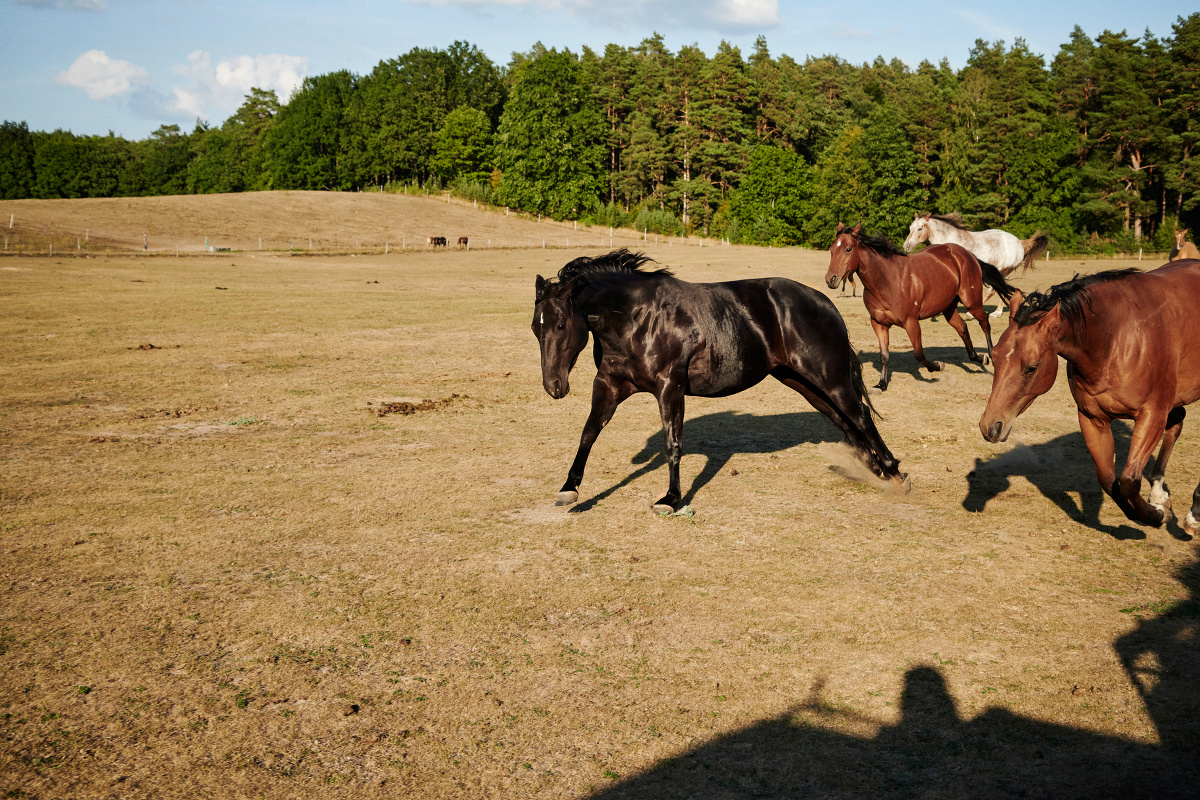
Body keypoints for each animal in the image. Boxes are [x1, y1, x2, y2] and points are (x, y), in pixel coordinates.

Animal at [532, 249, 909, 512]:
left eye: (561, 324)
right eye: (536, 327)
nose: (554, 387)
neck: (639, 318)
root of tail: (825, 302)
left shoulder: (670, 390)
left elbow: (672, 444)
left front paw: (670, 499)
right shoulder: (610, 385)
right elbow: (589, 433)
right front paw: (569, 489)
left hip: (829, 379)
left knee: (860, 416)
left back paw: (894, 472)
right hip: (803, 383)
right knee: (845, 422)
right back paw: (877, 470)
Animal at [824, 223, 1017, 391]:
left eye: (848, 249)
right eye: (831, 250)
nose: (831, 279)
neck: (887, 280)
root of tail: (967, 254)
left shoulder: (911, 322)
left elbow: (919, 354)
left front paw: (937, 366)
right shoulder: (878, 323)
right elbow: (884, 355)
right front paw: (881, 384)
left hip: (972, 302)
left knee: (984, 321)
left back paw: (990, 355)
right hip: (948, 308)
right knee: (962, 327)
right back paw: (977, 357)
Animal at [904, 212, 1048, 315]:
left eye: (920, 228)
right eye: (910, 228)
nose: (906, 246)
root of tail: (1020, 243)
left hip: (1003, 270)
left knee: (993, 290)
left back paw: (980, 313)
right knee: (1001, 287)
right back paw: (997, 311)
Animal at [979, 261, 1200, 534]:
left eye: (1031, 368)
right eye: (994, 357)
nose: (990, 427)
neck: (1118, 337)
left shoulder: (1152, 416)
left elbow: (1128, 481)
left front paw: (1157, 515)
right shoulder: (1093, 418)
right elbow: (1109, 480)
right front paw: (1152, 507)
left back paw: (1193, 514)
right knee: (1177, 421)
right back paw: (1159, 491)